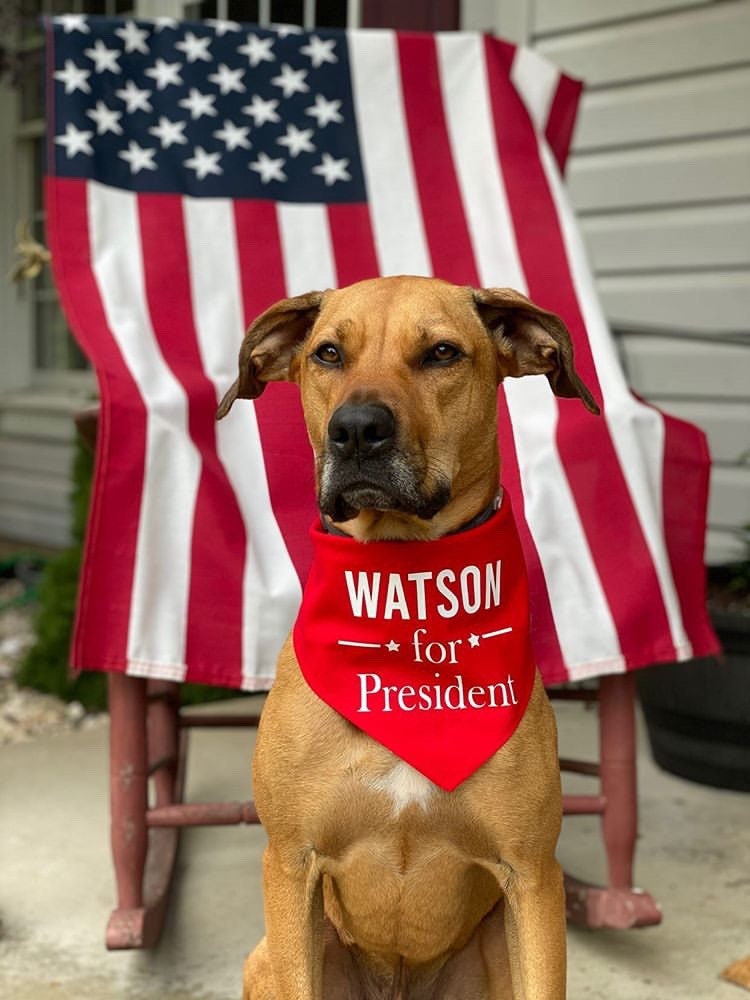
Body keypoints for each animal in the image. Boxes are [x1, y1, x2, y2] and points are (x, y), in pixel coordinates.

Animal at [217, 276, 600, 1000]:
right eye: (328, 353)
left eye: (441, 353)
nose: (356, 431)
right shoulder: (291, 866)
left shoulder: (534, 877)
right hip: (266, 957)